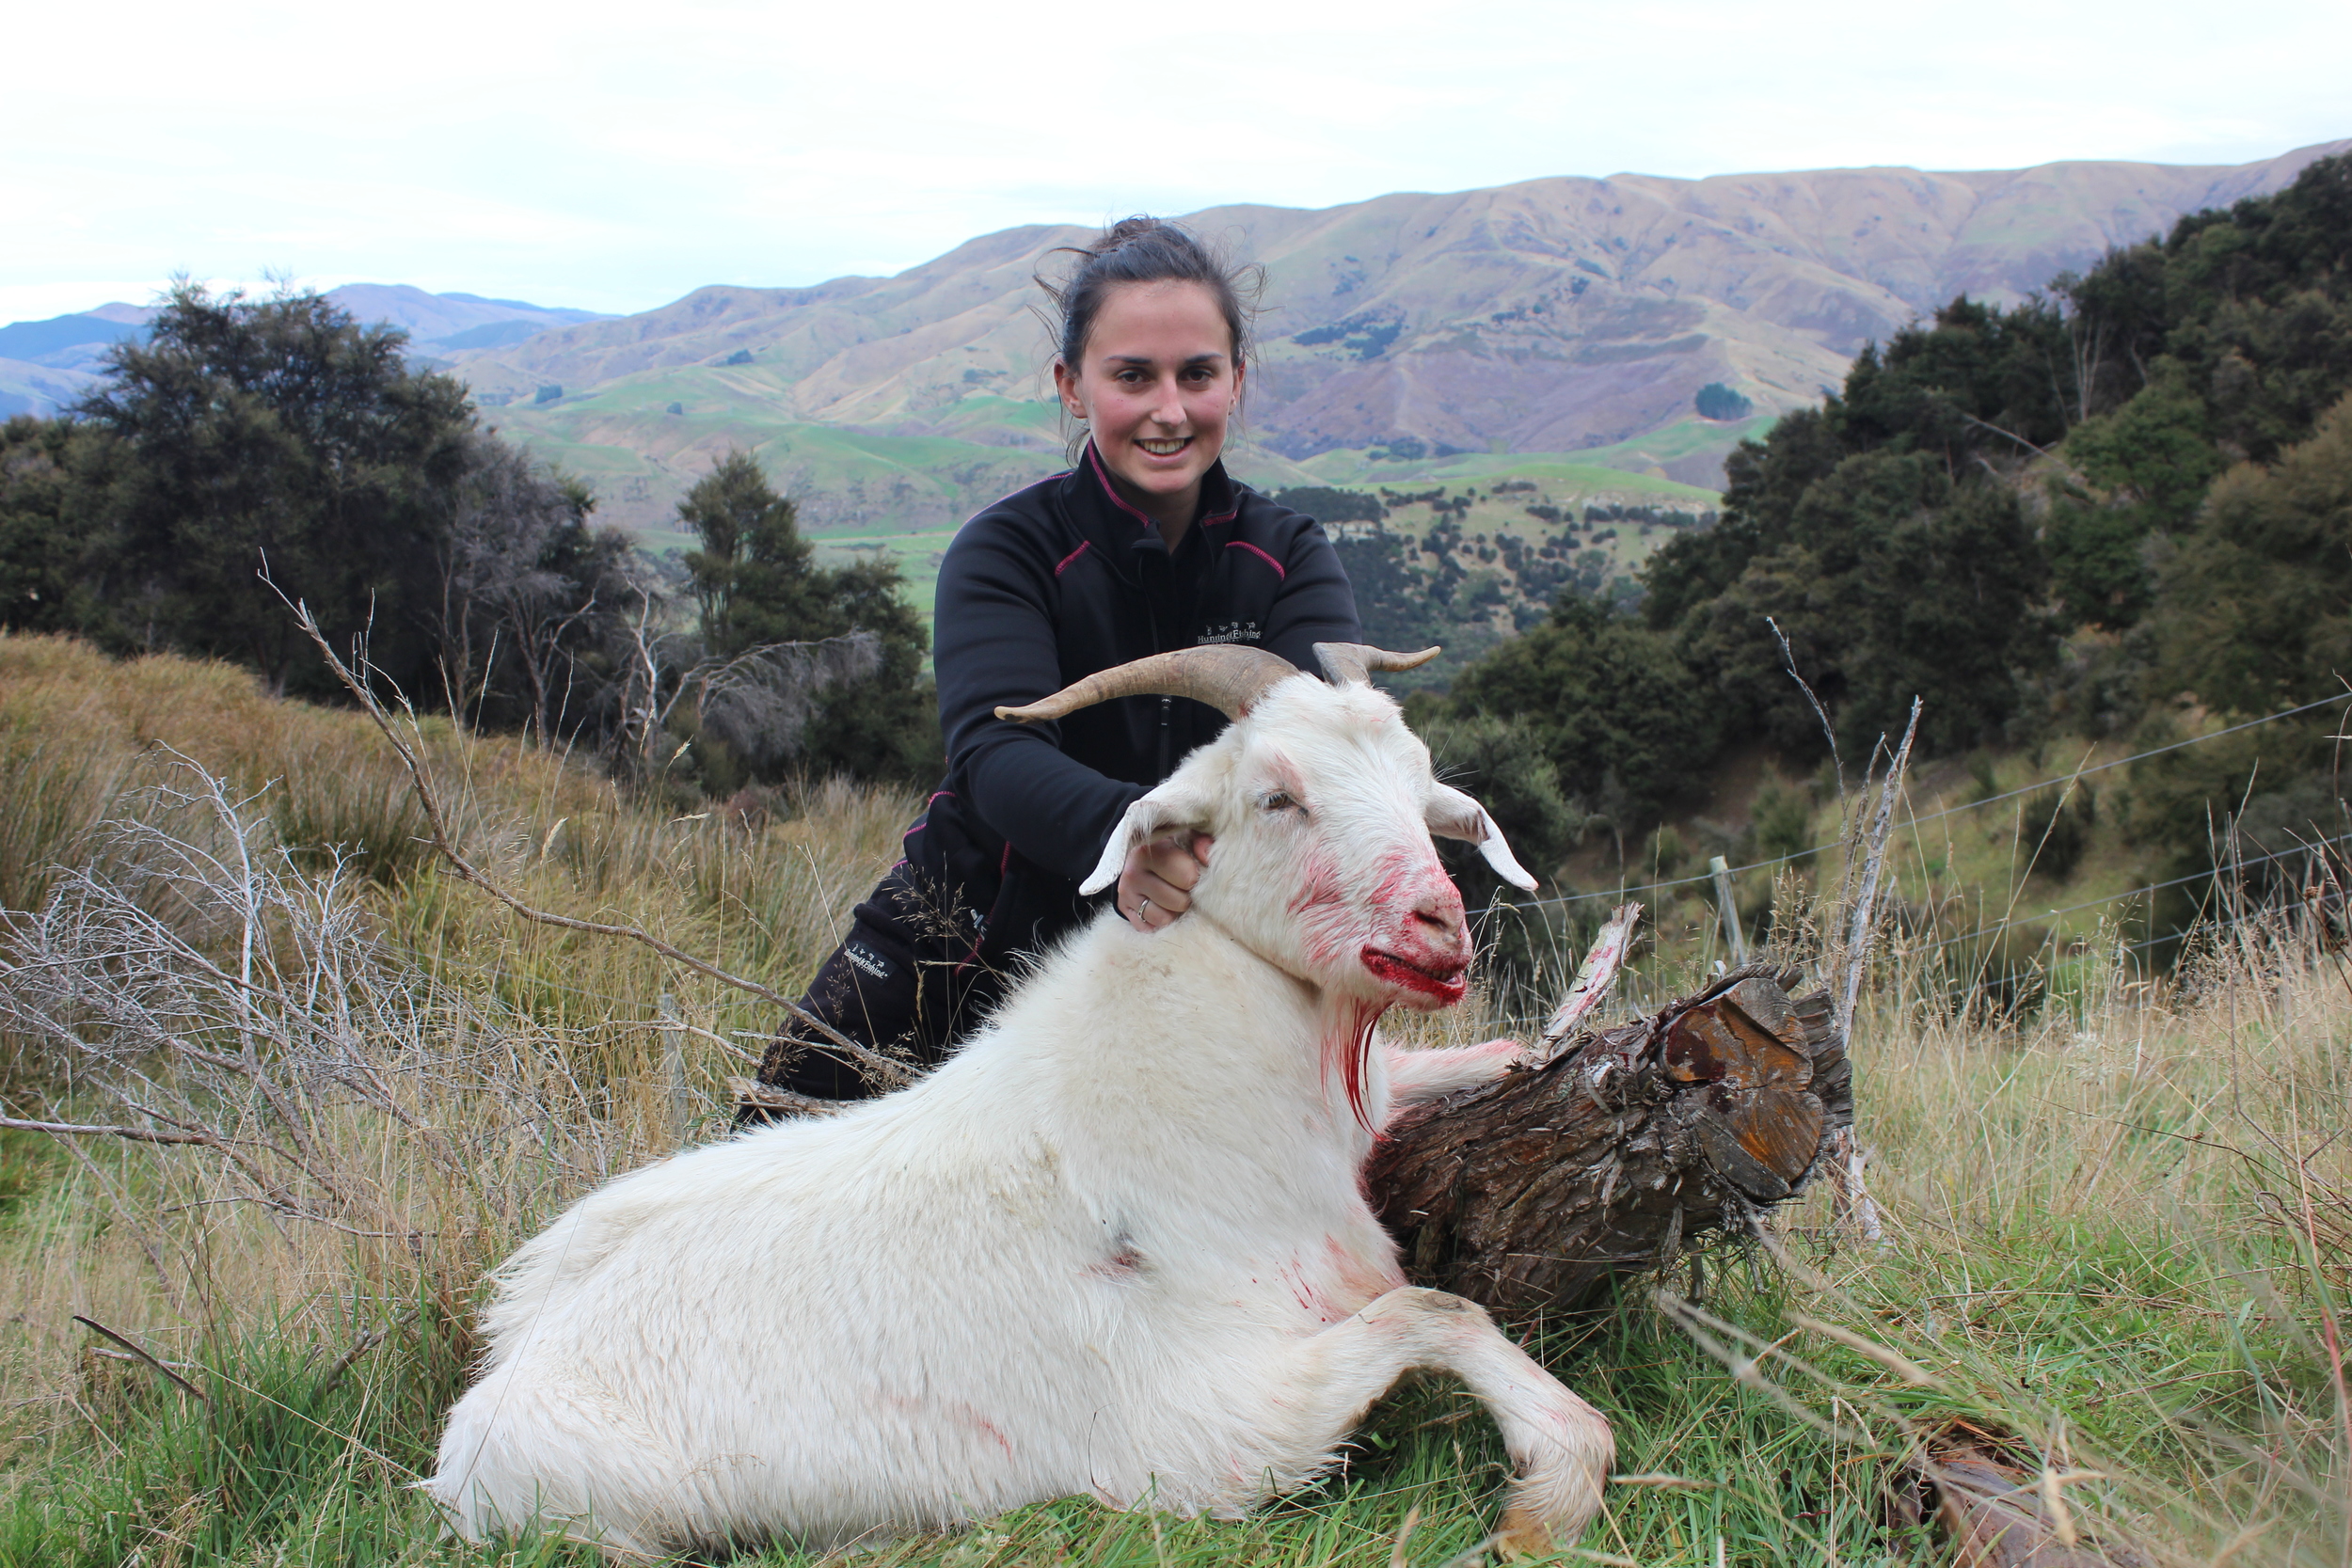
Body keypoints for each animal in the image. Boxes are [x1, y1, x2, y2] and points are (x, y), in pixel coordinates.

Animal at [433, 648, 1618, 1560]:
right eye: (1275, 794)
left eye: (1423, 792)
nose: (1438, 926)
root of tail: (494, 1377)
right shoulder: (1203, 1434)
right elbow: (1435, 1310)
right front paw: (1549, 1495)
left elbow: (1479, 1077)